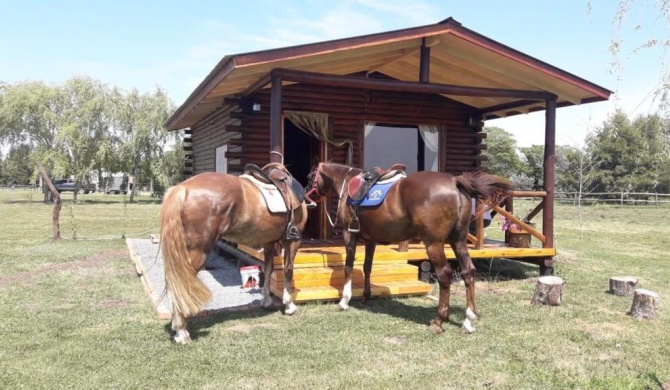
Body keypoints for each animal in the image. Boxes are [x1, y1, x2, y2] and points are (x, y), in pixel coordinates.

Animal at [160, 163, 310, 342]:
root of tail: (182, 189)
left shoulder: (268, 242)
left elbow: (268, 269)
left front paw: (266, 300)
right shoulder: (292, 241)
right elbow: (288, 271)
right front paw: (289, 305)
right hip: (196, 253)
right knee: (182, 283)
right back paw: (181, 331)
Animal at [306, 161, 516, 332]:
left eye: (310, 176)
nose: (308, 196)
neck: (348, 183)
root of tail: (454, 181)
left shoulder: (350, 234)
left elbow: (349, 267)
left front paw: (344, 301)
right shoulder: (371, 239)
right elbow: (367, 267)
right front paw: (366, 296)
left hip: (434, 244)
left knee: (445, 275)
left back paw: (439, 321)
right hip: (458, 241)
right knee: (468, 272)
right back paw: (468, 320)